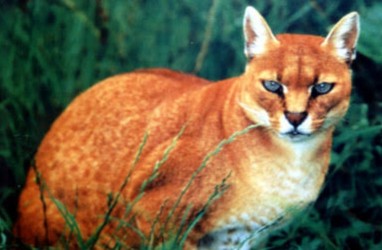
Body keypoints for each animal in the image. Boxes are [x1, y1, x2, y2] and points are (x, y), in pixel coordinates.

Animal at [14, 5, 360, 250]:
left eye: (322, 88)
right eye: (273, 85)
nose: (296, 117)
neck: (292, 162)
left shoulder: (241, 237)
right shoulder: (160, 217)